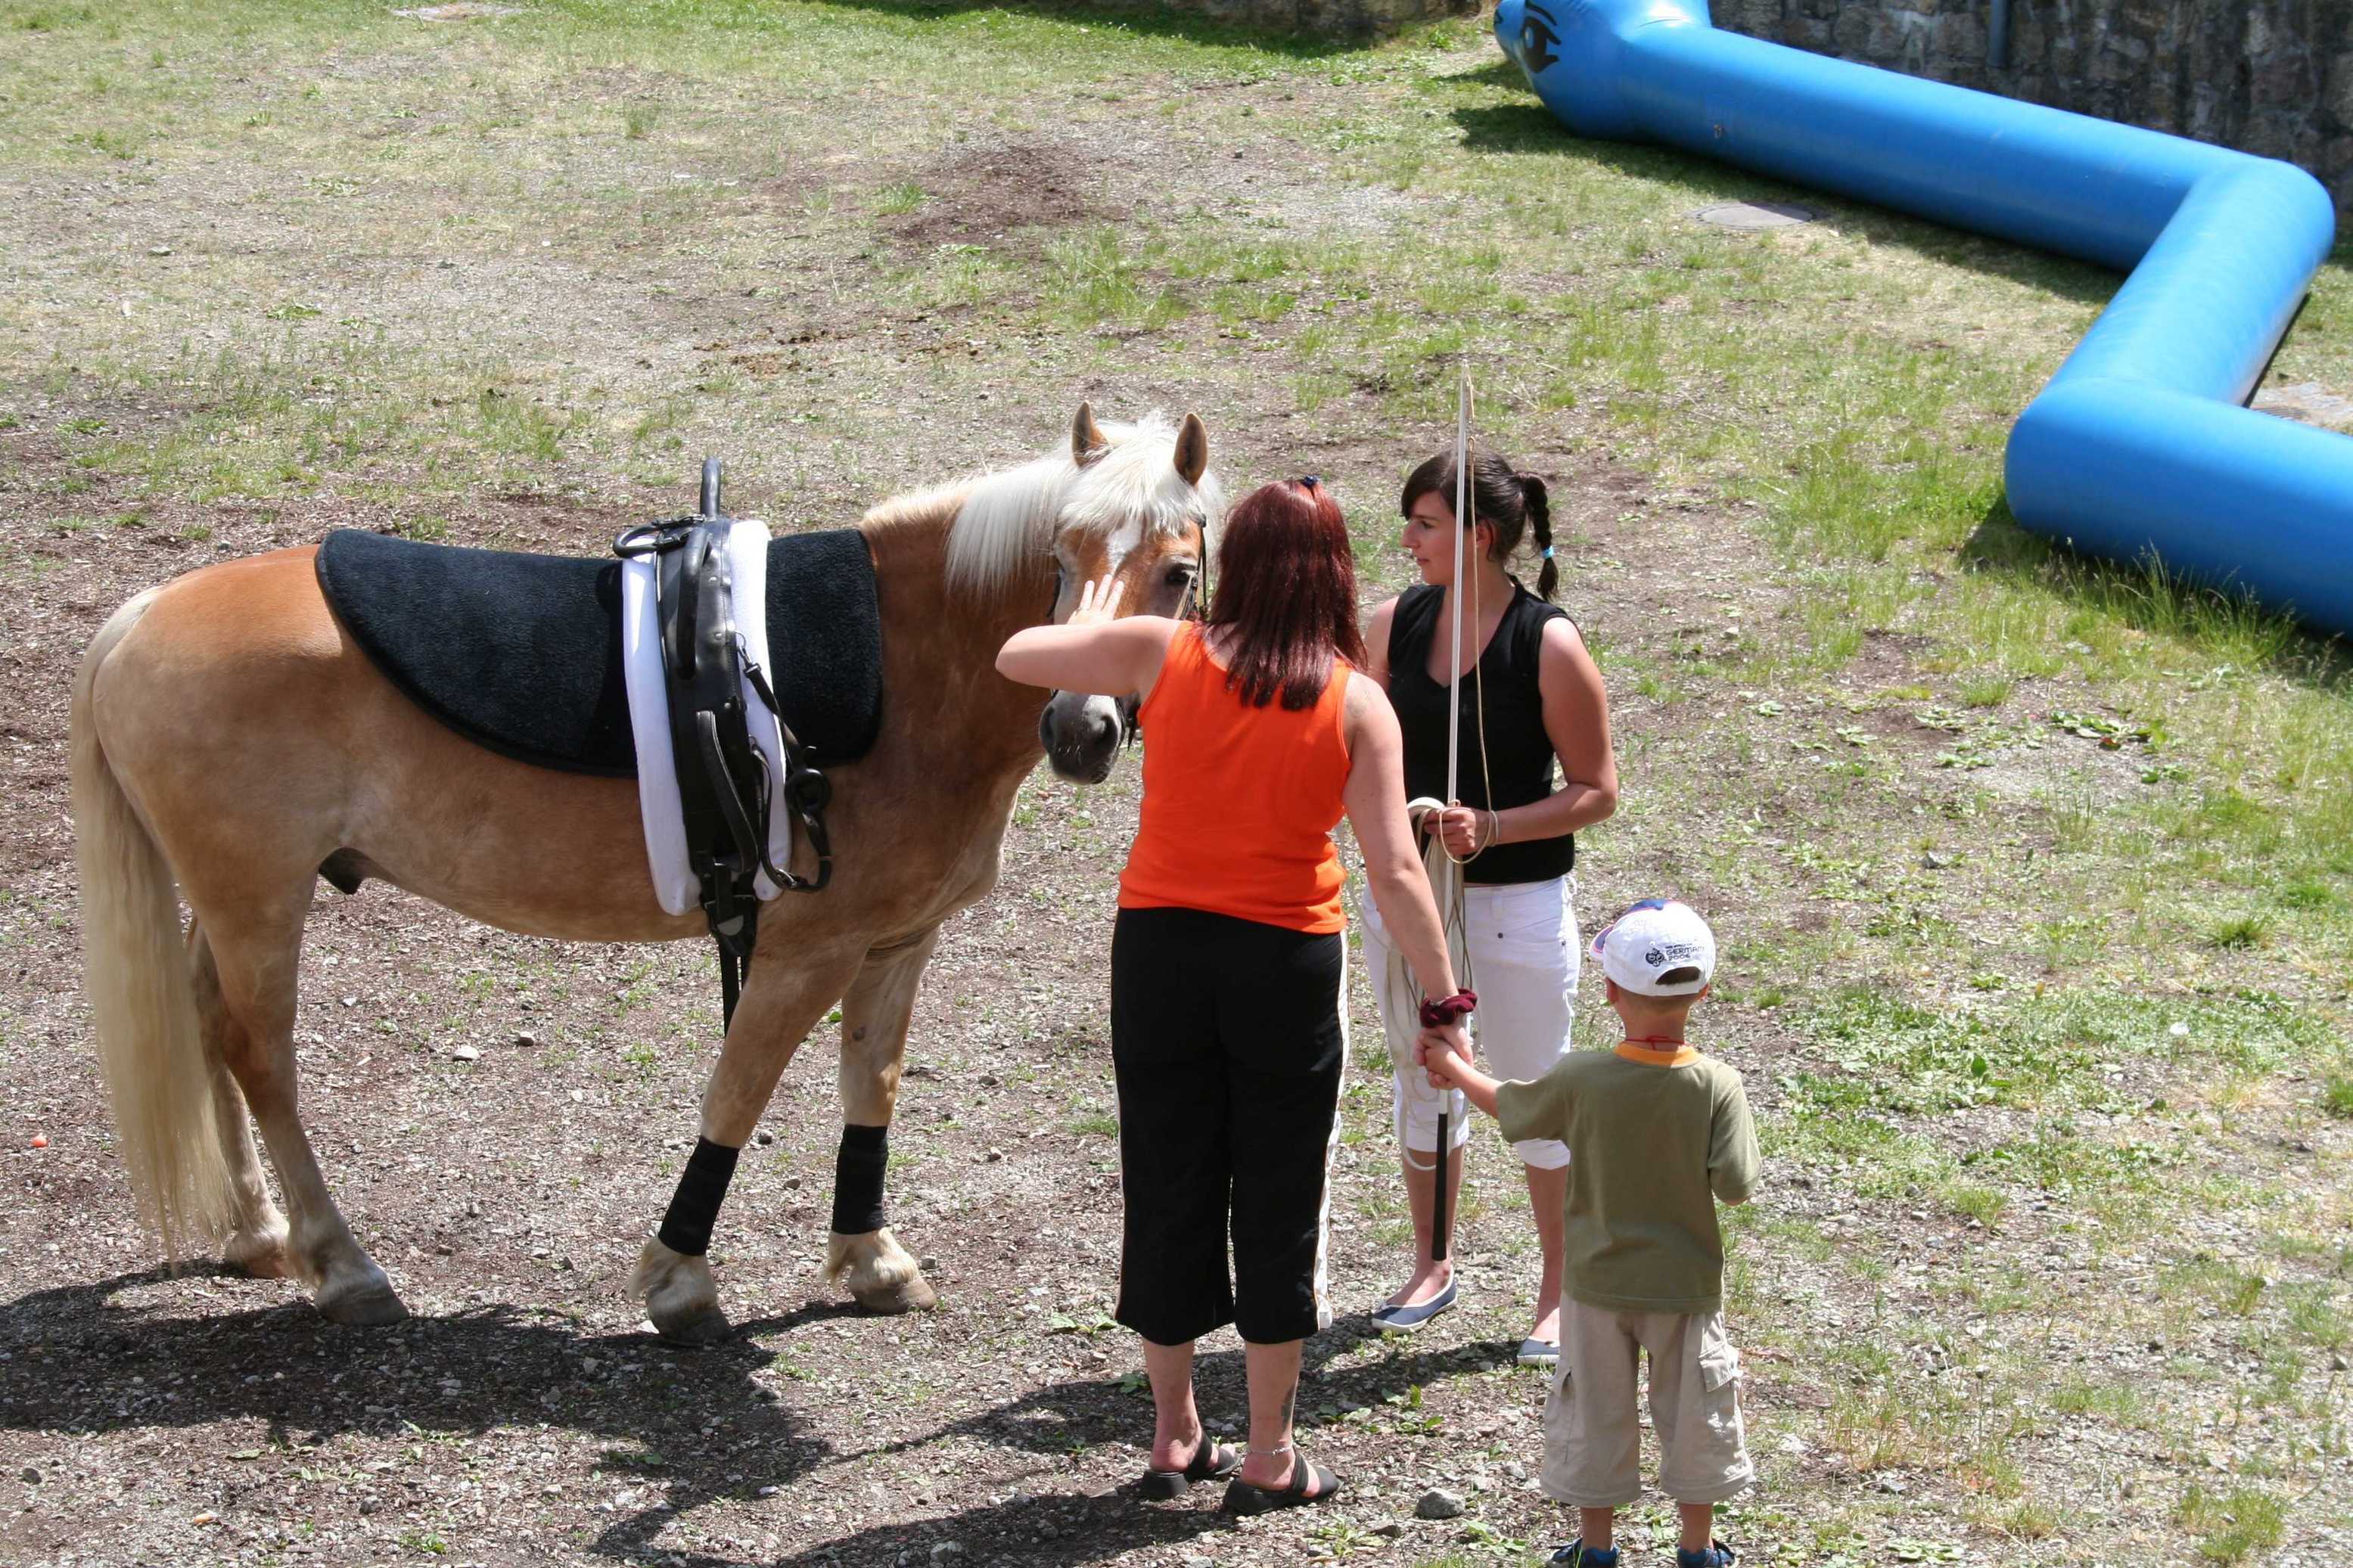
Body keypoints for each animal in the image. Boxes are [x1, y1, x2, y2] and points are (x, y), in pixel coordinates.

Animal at [78, 408, 1214, 1354]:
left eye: (1177, 575)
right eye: (1061, 557)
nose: (1079, 728)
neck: (907, 672)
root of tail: (140, 615)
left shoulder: (898, 942)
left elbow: (871, 1087)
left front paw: (870, 1260)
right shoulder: (808, 950)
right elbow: (738, 1091)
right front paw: (681, 1278)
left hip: (233, 902)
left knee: (207, 1023)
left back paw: (258, 1231)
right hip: (259, 900)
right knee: (258, 1055)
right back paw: (341, 1264)